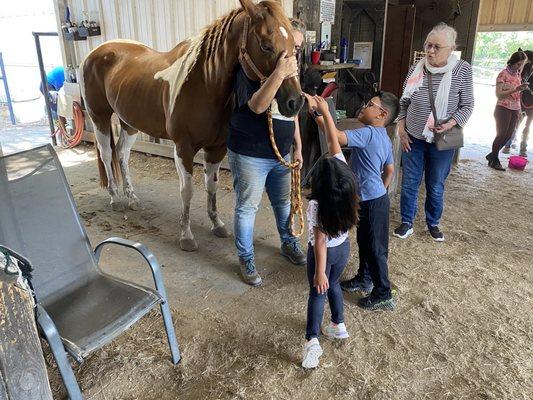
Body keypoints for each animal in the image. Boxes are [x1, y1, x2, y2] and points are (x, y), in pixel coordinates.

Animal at [80, 0, 304, 250]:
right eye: (266, 46)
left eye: (295, 46)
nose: (295, 102)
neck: (204, 83)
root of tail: (96, 52)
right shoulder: (183, 148)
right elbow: (187, 191)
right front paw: (186, 236)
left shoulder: (216, 148)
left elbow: (211, 186)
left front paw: (217, 224)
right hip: (99, 117)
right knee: (107, 154)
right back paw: (115, 198)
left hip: (129, 123)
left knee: (122, 153)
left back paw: (132, 198)